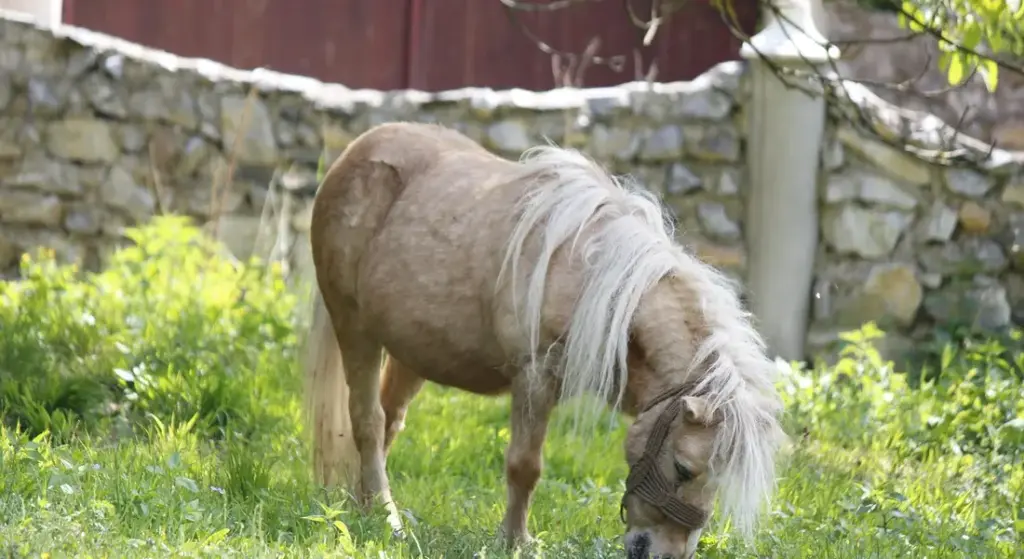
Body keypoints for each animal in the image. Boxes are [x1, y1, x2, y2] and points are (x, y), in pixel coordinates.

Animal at [303, 121, 787, 558]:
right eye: (684, 469)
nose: (666, 555)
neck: (592, 279)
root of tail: (356, 151)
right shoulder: (535, 377)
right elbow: (525, 466)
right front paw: (515, 541)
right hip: (355, 327)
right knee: (368, 421)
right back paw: (387, 518)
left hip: (413, 352)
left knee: (389, 419)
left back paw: (366, 508)